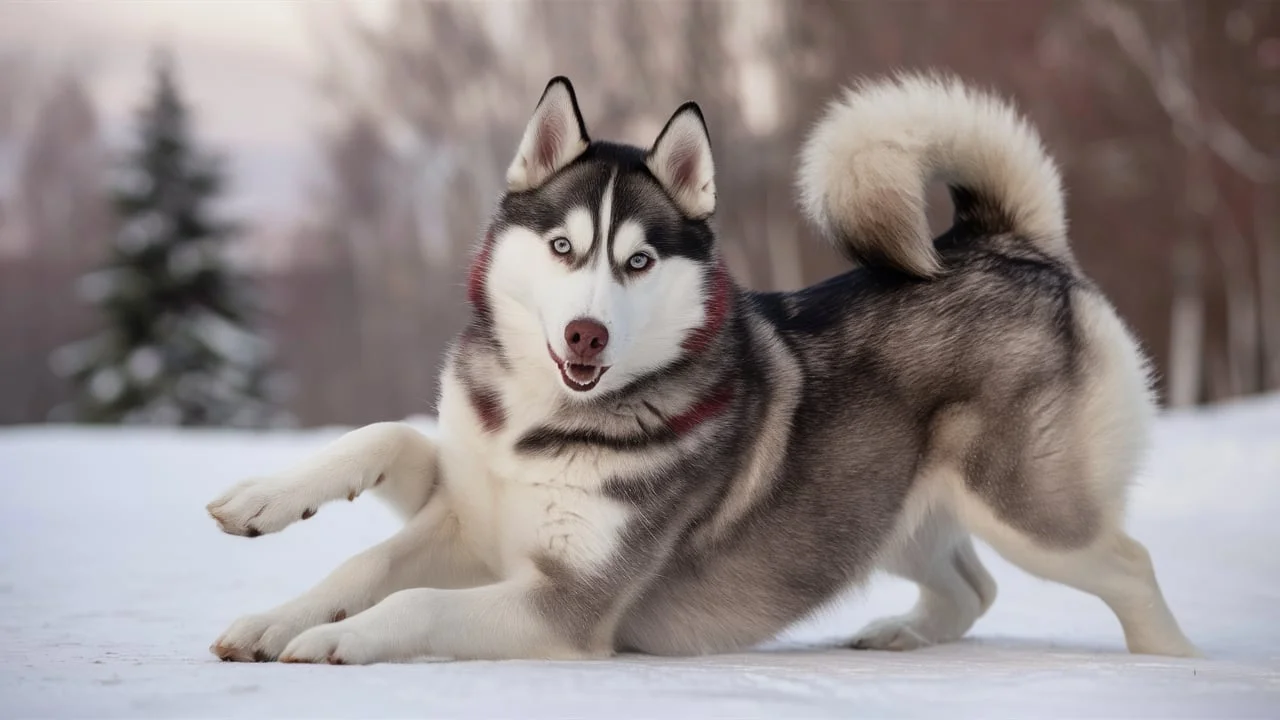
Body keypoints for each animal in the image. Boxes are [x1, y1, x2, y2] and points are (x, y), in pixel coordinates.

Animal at [207, 73, 1198, 661]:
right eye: (565, 248)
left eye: (639, 261)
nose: (586, 337)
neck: (537, 422)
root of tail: (1006, 242)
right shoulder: (469, 518)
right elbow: (377, 489)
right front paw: (269, 548)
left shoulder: (565, 605)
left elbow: (409, 603)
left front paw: (336, 640)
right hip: (877, 510)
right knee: (972, 585)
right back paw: (900, 635)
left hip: (1026, 510)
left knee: (1132, 565)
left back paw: (1168, 667)